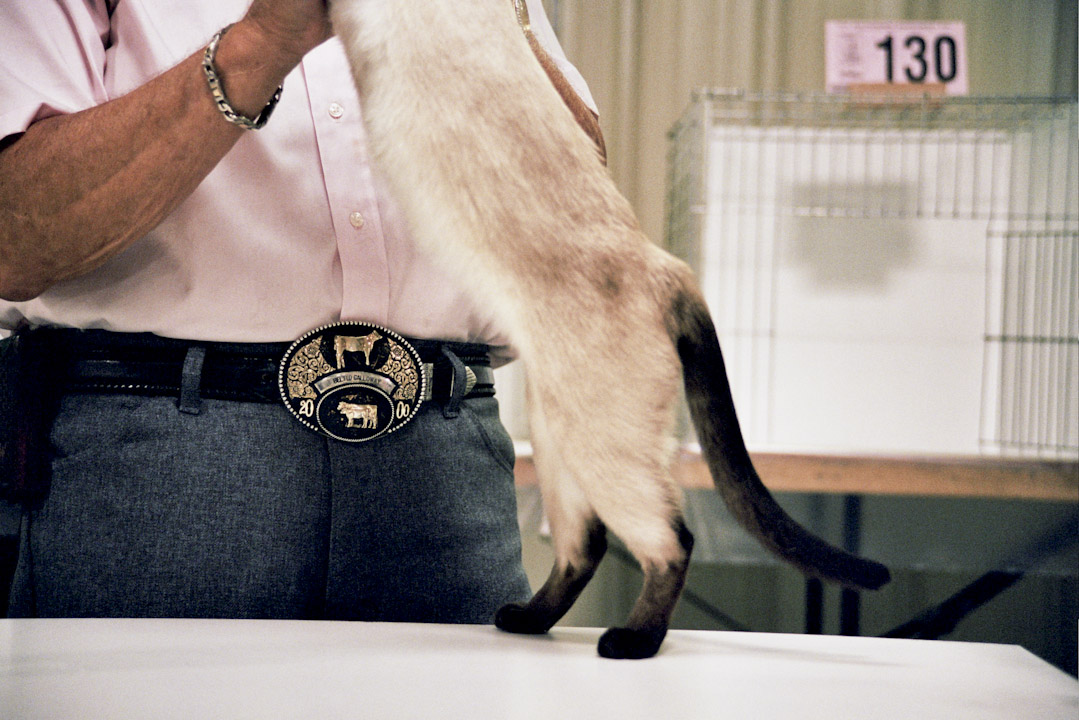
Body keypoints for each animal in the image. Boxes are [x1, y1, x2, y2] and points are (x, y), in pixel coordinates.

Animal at [329, 0, 890, 659]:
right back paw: (525, 620)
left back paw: (630, 641)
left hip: (599, 444)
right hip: (561, 436)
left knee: (670, 541)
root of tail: (667, 265)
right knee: (586, 545)